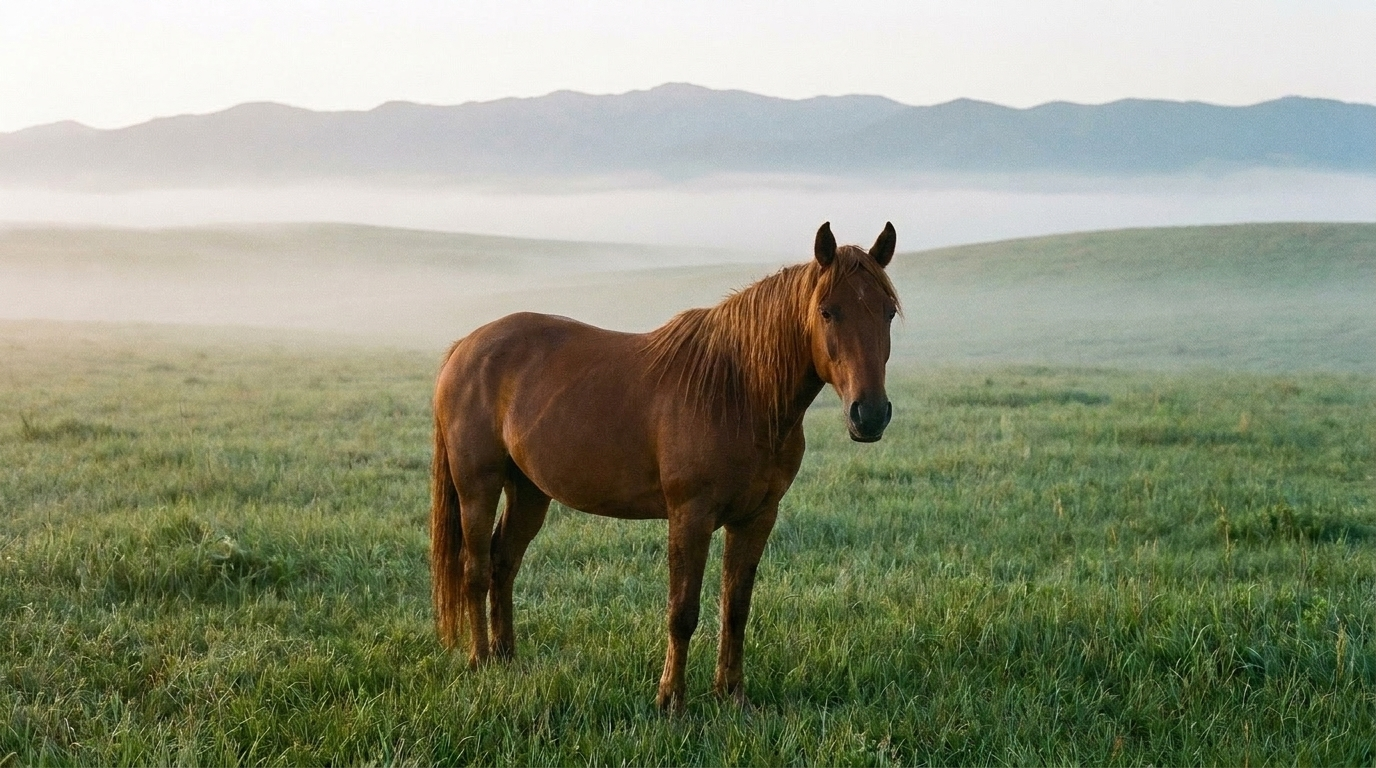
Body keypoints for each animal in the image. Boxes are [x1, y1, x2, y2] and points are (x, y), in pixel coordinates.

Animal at [431, 221, 900, 711]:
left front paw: (732, 695)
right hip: (477, 487)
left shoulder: (756, 518)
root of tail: (464, 347)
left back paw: (507, 658)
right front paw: (670, 699)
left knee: (504, 562)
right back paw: (481, 662)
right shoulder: (690, 516)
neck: (738, 391)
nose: (869, 414)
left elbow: (736, 607)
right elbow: (683, 611)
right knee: (475, 569)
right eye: (827, 312)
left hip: (528, 490)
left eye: (888, 313)